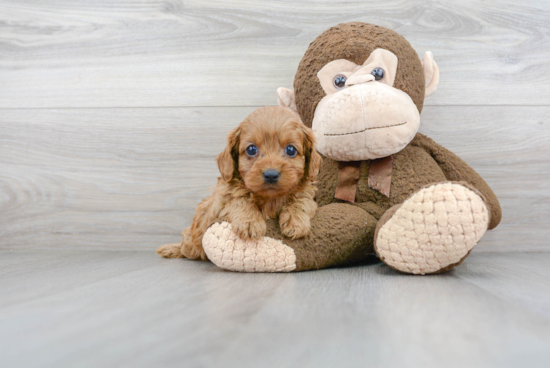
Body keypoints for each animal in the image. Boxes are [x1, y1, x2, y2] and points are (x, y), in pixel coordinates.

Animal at [156, 106, 324, 260]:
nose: (271, 174)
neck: (270, 199)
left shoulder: (307, 196)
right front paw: (250, 222)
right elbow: (239, 199)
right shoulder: (220, 203)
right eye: (251, 149)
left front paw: (295, 221)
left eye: (290, 150)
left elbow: (302, 201)